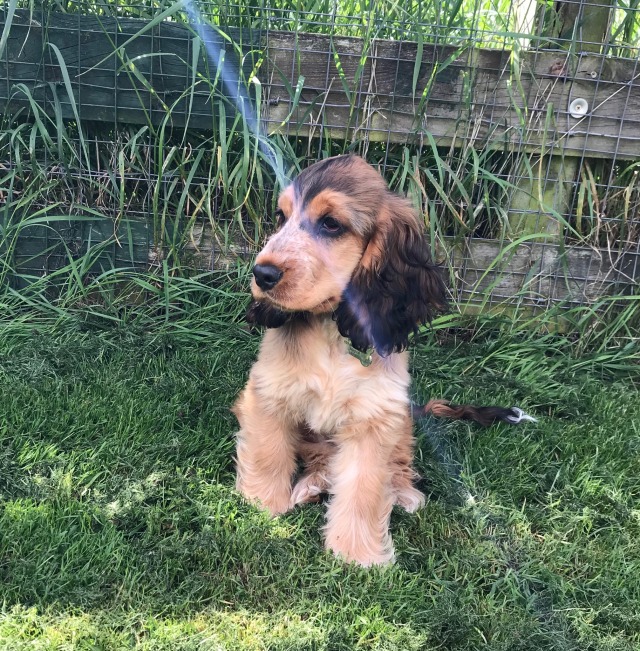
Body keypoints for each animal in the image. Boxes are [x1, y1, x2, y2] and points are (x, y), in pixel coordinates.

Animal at [232, 155, 532, 568]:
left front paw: (356, 553)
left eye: (331, 223)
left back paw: (403, 493)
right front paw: (262, 505)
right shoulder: (268, 393)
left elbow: (364, 486)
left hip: (401, 419)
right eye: (282, 217)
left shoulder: (375, 417)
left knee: (399, 464)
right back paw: (312, 485)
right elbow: (267, 453)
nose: (262, 274)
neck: (332, 331)